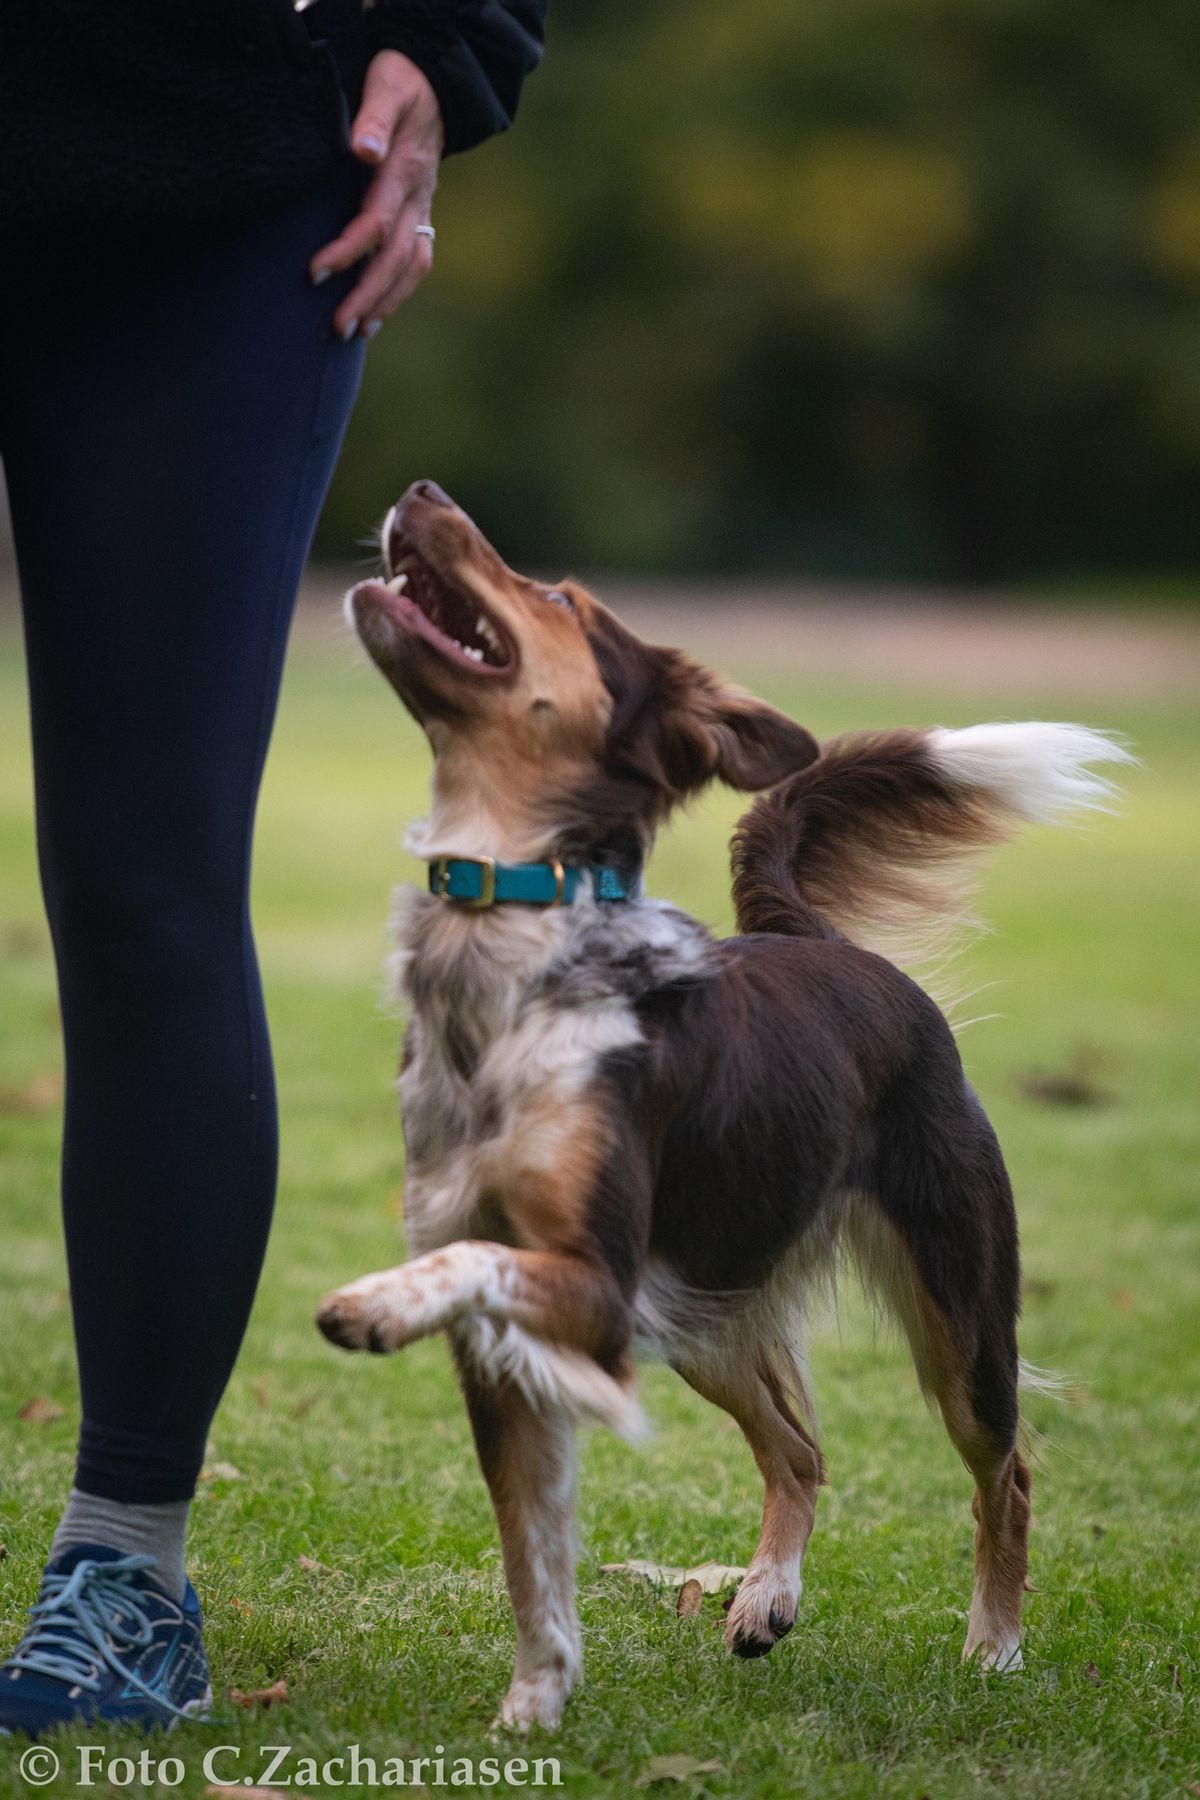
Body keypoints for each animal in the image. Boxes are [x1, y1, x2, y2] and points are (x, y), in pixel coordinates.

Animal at [316, 478, 1129, 1728]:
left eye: (561, 597)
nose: (420, 493)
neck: (514, 940)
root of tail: (824, 941)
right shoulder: (524, 1347)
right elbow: (530, 1554)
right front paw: (533, 1711)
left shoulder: (596, 1282)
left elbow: (463, 1266)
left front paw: (375, 1304)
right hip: (703, 1306)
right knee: (800, 1449)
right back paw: (767, 1598)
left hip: (957, 1313)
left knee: (1009, 1468)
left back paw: (994, 1646)